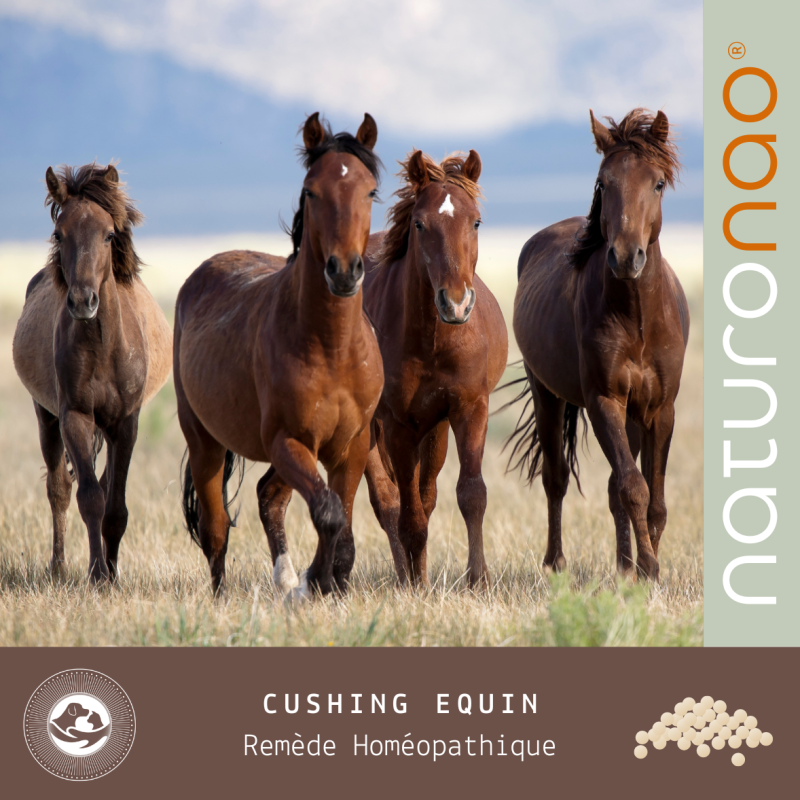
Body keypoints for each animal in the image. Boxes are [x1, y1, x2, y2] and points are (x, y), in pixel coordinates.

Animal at [13, 163, 172, 583]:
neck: (103, 348)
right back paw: (59, 568)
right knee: (60, 489)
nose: (83, 301)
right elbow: (89, 499)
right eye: (59, 233)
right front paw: (98, 576)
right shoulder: (75, 417)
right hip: (46, 416)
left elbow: (115, 506)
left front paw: (111, 573)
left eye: (109, 234)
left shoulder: (125, 424)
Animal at [175, 113, 384, 600]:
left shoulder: (351, 445)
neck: (332, 348)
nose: (343, 271)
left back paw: (286, 579)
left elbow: (343, 522)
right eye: (311, 191)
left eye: (370, 191)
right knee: (216, 528)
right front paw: (316, 581)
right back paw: (225, 595)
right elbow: (329, 512)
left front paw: (327, 582)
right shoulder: (289, 441)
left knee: (270, 496)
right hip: (204, 441)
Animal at [362, 151, 508, 589]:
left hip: (435, 429)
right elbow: (407, 515)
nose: (456, 304)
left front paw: (478, 580)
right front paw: (414, 588)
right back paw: (406, 577)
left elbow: (471, 494)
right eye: (419, 223)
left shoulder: (468, 409)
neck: (432, 340)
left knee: (424, 498)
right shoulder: (396, 425)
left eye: (475, 221)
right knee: (389, 502)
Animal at [507, 109, 689, 581]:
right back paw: (556, 563)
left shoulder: (660, 409)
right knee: (556, 478)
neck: (638, 319)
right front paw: (649, 568)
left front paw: (645, 566)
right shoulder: (604, 400)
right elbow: (634, 487)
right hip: (547, 394)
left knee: (609, 488)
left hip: (632, 414)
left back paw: (623, 566)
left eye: (657, 183)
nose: (625, 257)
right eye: (603, 182)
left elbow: (654, 499)